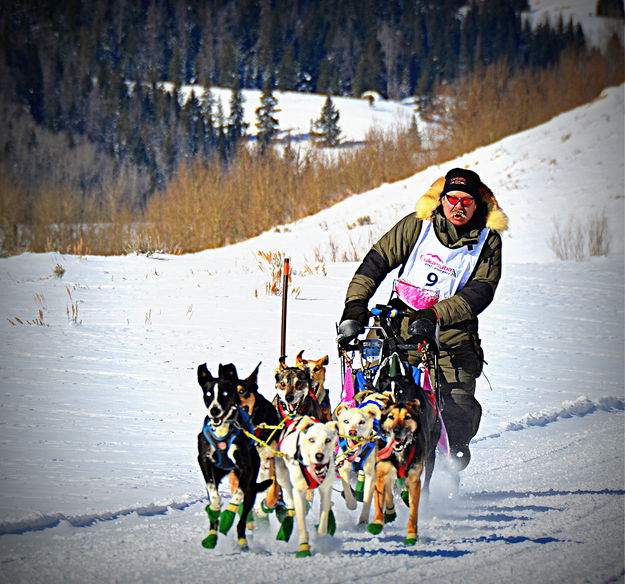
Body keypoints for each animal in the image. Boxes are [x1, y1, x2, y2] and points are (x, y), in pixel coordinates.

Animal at [197, 362, 270, 548]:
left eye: (224, 393)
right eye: (208, 394)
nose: (214, 411)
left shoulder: (246, 469)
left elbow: (238, 496)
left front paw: (228, 516)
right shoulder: (204, 460)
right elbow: (212, 492)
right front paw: (215, 507)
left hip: (251, 485)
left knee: (243, 518)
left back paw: (242, 541)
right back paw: (211, 536)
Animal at [274, 416, 338, 556]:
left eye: (328, 440)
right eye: (311, 440)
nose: (319, 456)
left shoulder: (326, 488)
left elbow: (323, 519)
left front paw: (321, 537)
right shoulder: (299, 491)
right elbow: (302, 524)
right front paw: (303, 547)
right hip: (282, 476)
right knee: (290, 494)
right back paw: (291, 510)